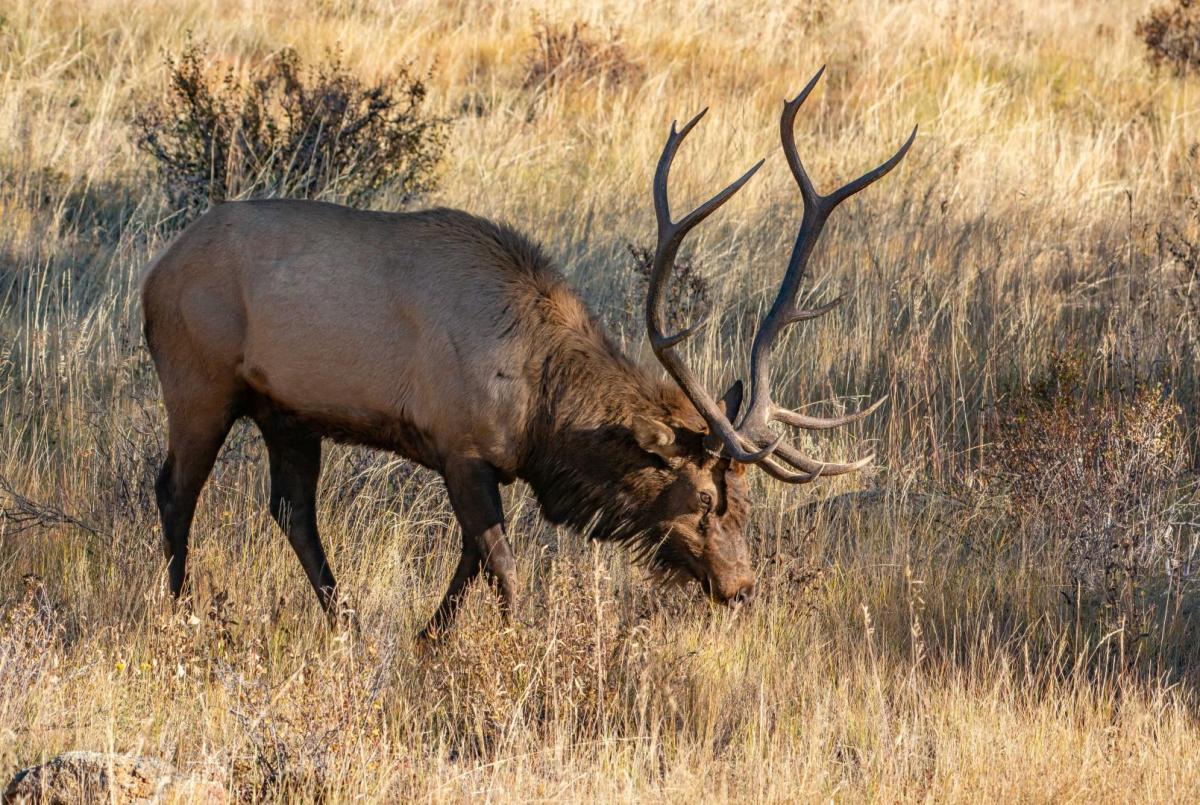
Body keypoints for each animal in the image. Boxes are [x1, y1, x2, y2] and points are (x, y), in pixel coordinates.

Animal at [141, 67, 915, 637]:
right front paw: (518, 646)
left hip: (288, 413)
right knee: (175, 489)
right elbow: (502, 564)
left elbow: (468, 561)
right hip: (197, 380)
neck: (541, 412)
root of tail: (154, 274)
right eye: (700, 497)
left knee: (293, 510)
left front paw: (428, 639)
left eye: (747, 500)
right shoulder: (459, 445)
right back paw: (179, 614)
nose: (742, 585)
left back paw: (346, 624)